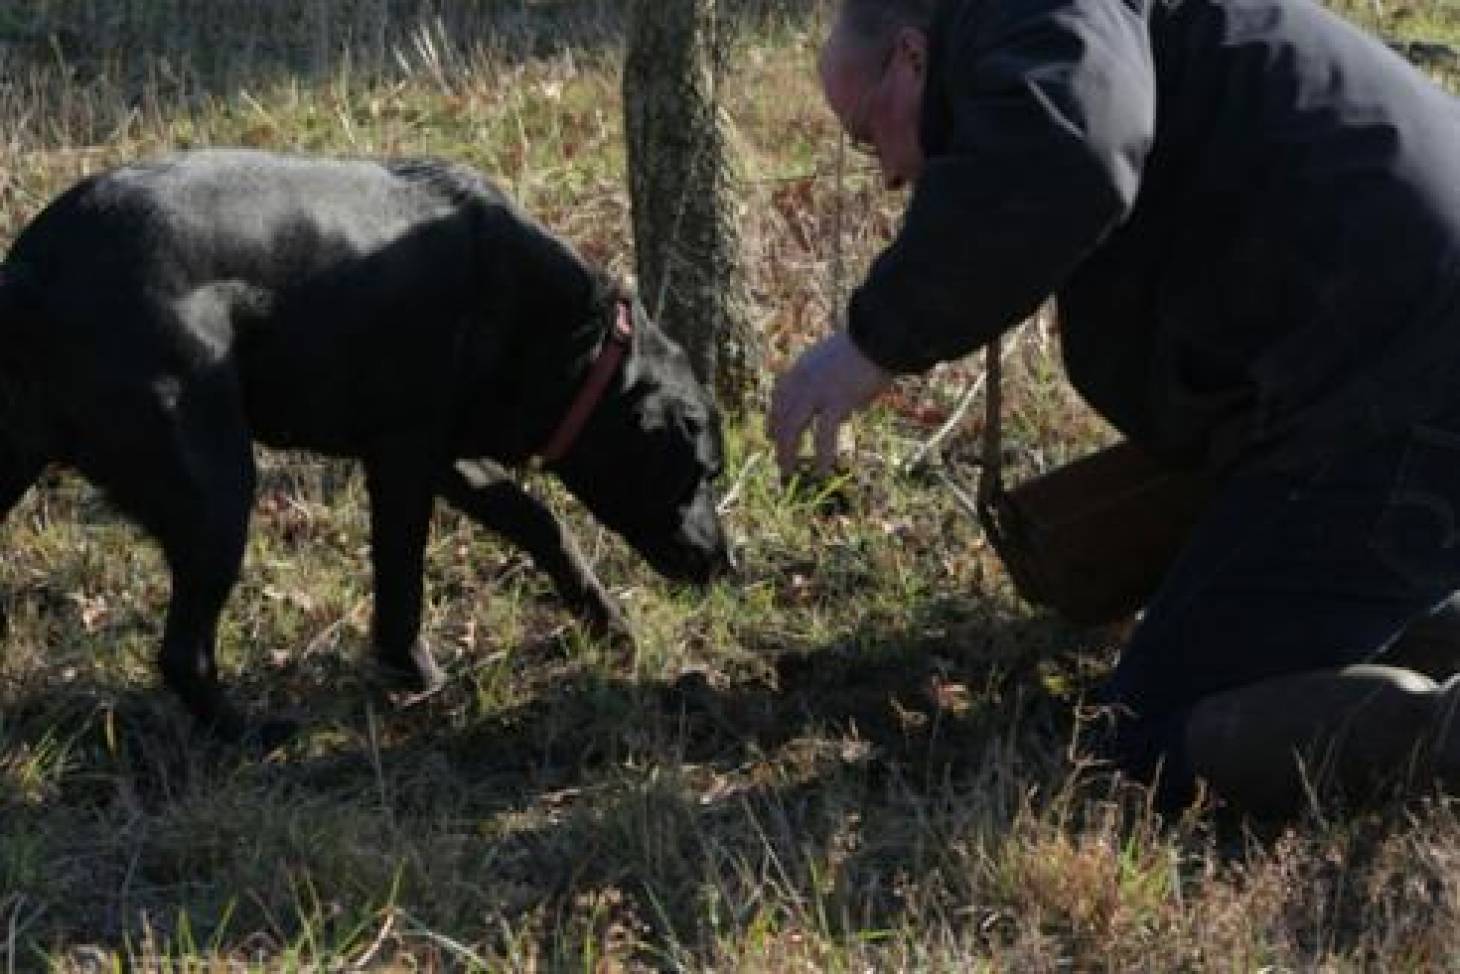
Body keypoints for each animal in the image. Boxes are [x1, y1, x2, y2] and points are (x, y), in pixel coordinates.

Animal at [0, 148, 730, 738]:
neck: (570, 335)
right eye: (699, 474)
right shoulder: (403, 457)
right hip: (218, 490)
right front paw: (415, 674)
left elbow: (539, 522)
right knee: (184, 652)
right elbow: (402, 575)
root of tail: (32, 272)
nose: (725, 563)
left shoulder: (443, 452)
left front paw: (606, 620)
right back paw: (254, 735)